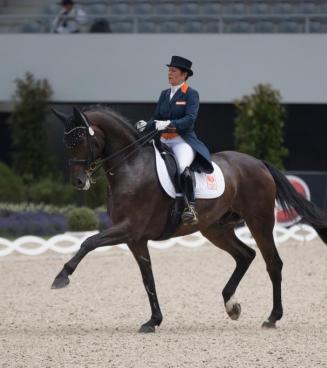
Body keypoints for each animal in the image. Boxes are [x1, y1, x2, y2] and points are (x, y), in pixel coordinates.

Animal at [51, 105, 327, 334]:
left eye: (80, 139)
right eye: (66, 142)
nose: (78, 182)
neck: (131, 168)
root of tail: (258, 162)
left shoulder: (128, 229)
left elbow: (88, 242)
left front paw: (61, 277)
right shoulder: (135, 239)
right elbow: (148, 278)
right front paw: (153, 321)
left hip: (259, 221)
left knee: (273, 264)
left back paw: (272, 317)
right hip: (215, 228)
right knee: (245, 255)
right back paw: (231, 305)